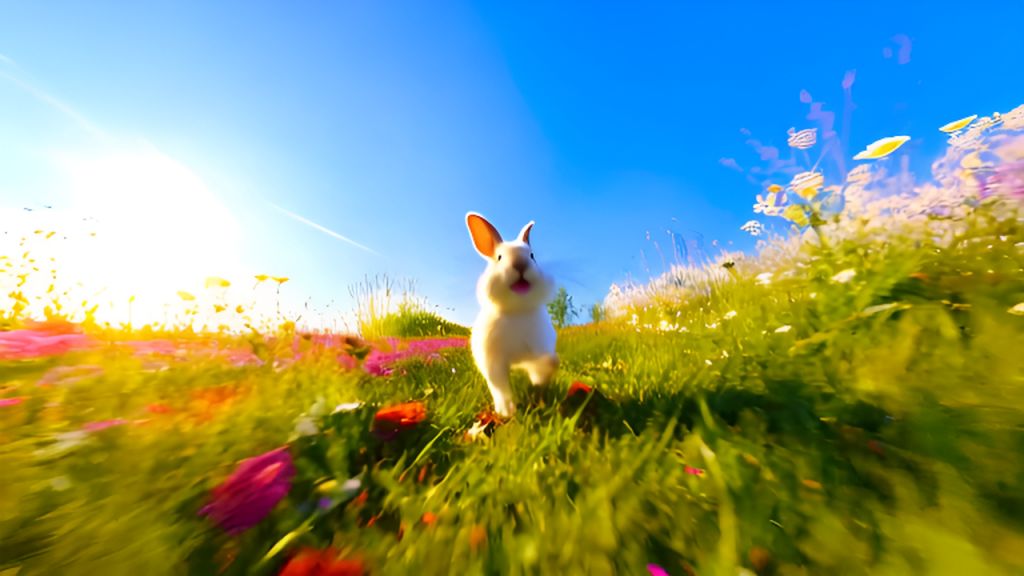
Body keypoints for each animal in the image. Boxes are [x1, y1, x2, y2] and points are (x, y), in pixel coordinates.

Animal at [465, 212, 560, 418]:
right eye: (500, 257)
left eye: (532, 255)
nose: (520, 265)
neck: (517, 310)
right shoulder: (494, 363)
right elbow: (500, 388)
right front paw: (507, 411)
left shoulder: (538, 349)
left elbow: (541, 368)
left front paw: (551, 366)